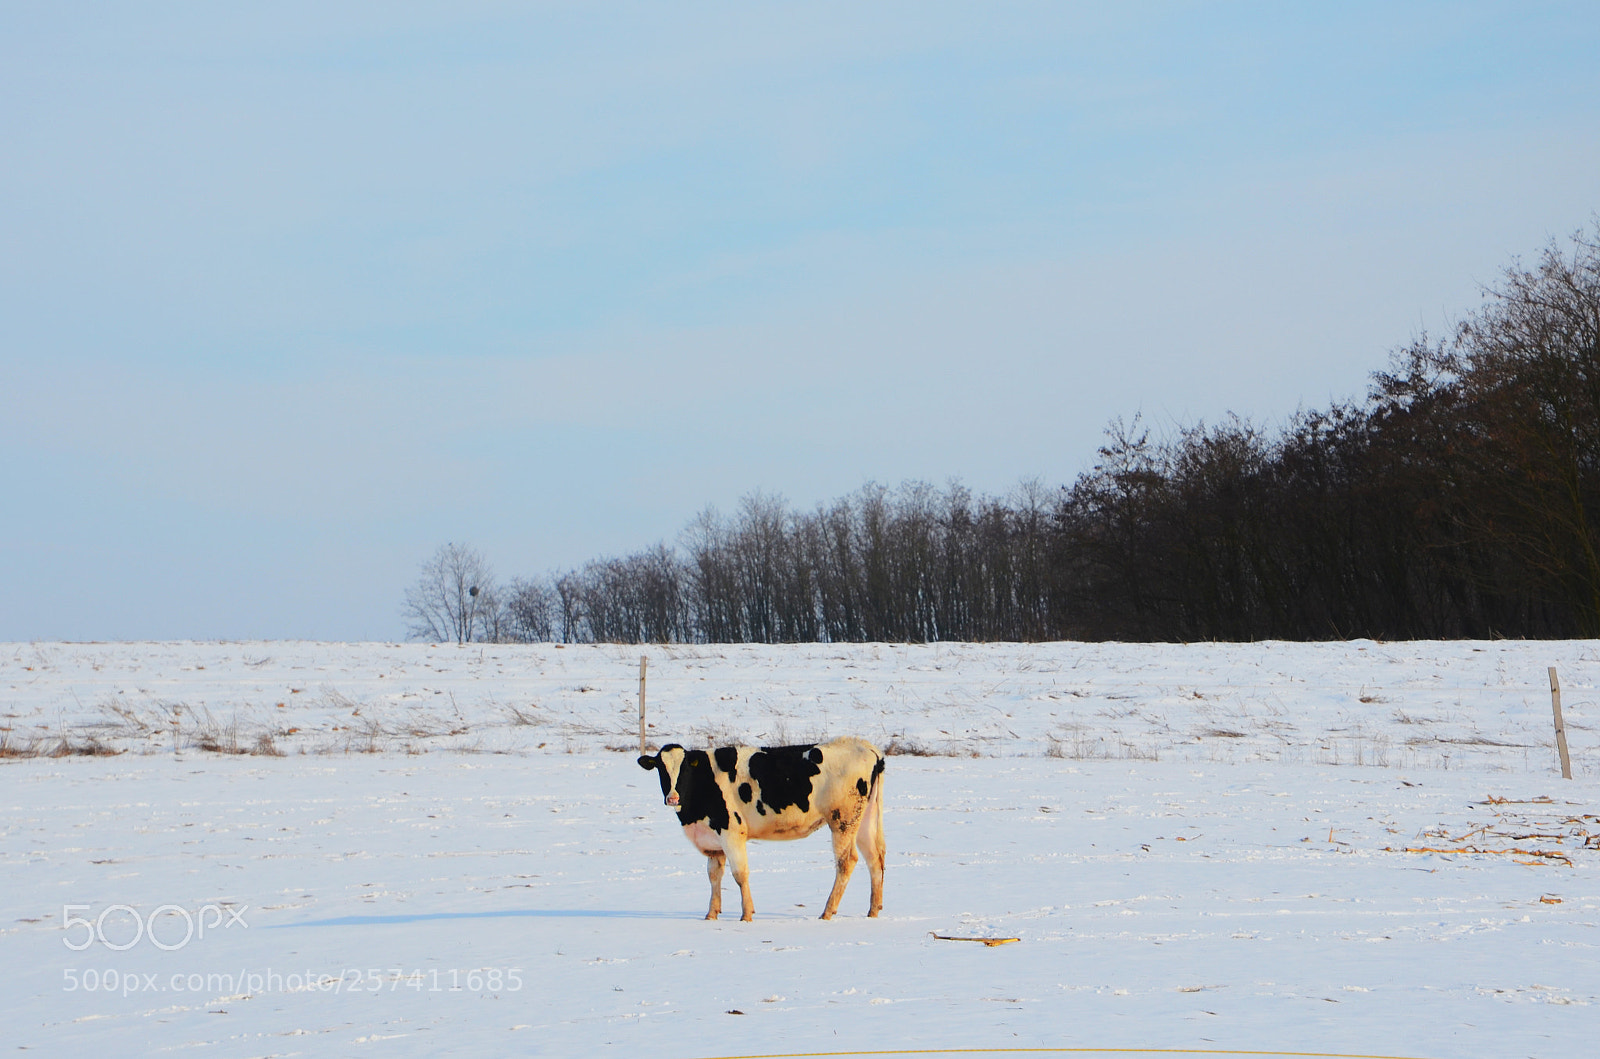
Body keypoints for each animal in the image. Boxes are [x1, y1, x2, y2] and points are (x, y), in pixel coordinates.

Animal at [636, 736, 885, 922]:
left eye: (685, 768)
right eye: (661, 769)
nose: (672, 798)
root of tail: (866, 746)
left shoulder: (732, 832)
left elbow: (740, 874)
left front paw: (746, 915)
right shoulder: (713, 840)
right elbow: (714, 875)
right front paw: (711, 914)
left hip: (842, 820)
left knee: (847, 861)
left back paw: (827, 912)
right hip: (864, 819)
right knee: (874, 857)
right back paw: (873, 910)